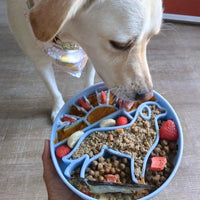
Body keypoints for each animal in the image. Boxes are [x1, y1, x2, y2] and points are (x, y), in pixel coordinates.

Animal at [6, 0, 162, 120]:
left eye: (150, 38)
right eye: (120, 45)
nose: (147, 95)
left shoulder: (91, 53)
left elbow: (88, 80)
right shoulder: (39, 61)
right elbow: (52, 88)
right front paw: (58, 107)